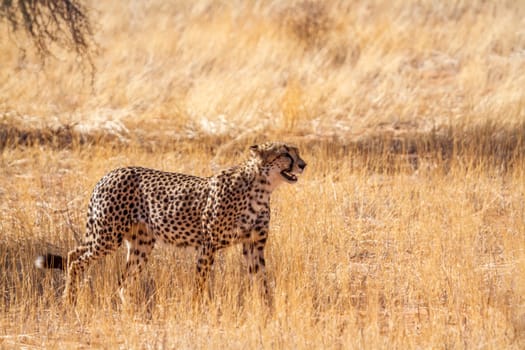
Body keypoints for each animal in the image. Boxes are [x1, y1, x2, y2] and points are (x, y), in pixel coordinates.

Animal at [34, 142, 304, 304]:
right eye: (285, 154)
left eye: (297, 152)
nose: (303, 164)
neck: (261, 189)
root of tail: (111, 173)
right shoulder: (208, 245)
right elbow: (200, 283)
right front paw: (198, 310)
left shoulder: (253, 246)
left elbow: (262, 281)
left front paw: (269, 311)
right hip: (107, 237)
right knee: (75, 259)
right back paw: (69, 300)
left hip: (139, 244)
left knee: (119, 280)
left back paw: (130, 311)